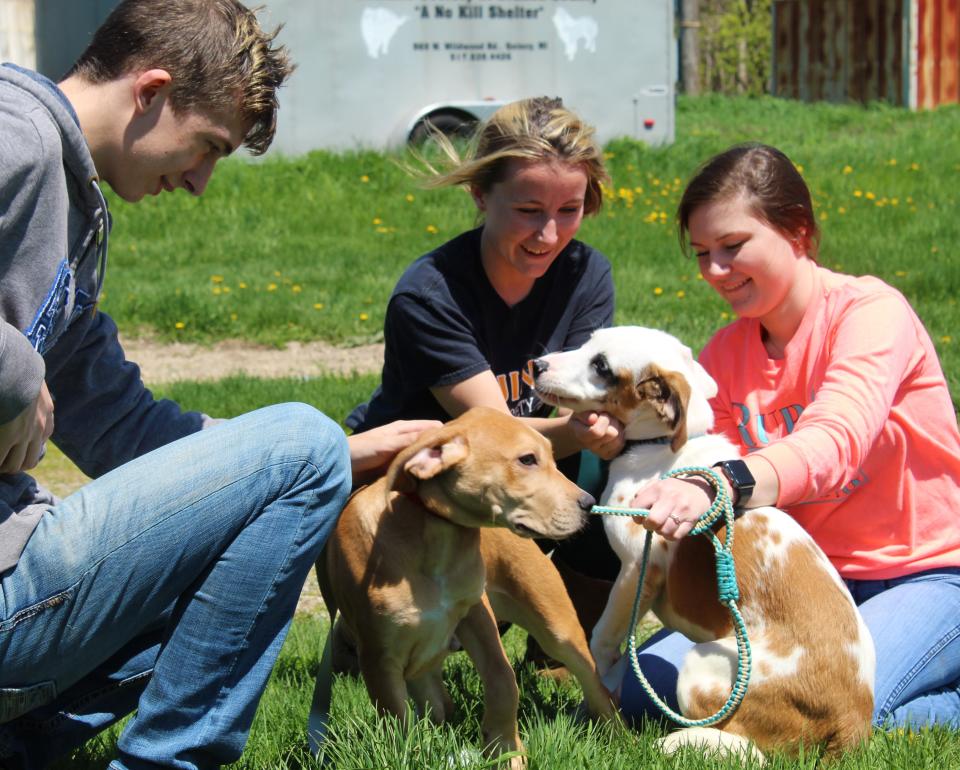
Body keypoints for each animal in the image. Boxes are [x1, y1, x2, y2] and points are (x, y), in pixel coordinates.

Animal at [318, 404, 612, 764]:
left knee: (596, 684)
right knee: (435, 701)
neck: (436, 534)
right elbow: (396, 721)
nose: (589, 504)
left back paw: (622, 735)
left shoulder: (477, 614)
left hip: (556, 625)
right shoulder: (379, 655)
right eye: (527, 459)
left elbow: (503, 679)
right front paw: (407, 755)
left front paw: (506, 750)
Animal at [532, 326, 876, 760]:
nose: (536, 365)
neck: (658, 447)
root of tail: (854, 719)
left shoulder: (637, 570)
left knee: (755, 750)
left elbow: (603, 645)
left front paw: (595, 709)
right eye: (589, 343)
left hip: (702, 666)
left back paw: (673, 741)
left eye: (602, 366)